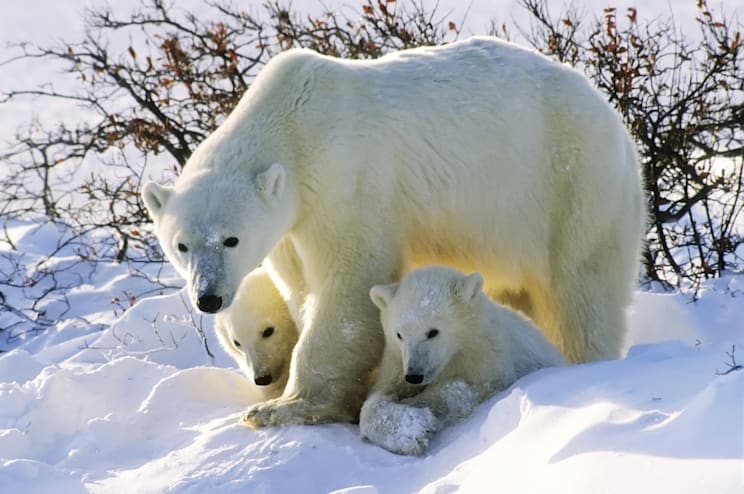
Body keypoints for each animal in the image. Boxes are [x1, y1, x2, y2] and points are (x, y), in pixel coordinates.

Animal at [359, 266, 566, 455]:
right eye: (399, 335)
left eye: (433, 332)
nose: (414, 375)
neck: (457, 353)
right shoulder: (395, 363)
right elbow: (375, 398)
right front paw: (410, 428)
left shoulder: (489, 360)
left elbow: (461, 391)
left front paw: (418, 412)